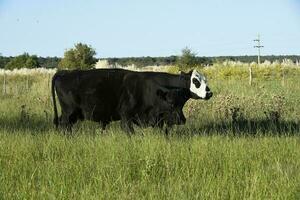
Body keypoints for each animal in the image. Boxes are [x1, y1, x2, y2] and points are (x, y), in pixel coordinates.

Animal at [51, 68, 211, 134]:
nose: (210, 92)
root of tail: (64, 72)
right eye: (196, 81)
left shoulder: (158, 118)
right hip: (69, 112)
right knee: (64, 125)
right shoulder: (126, 116)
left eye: (205, 80)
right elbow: (129, 132)